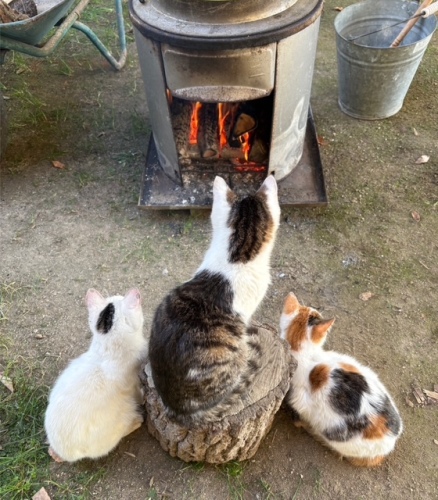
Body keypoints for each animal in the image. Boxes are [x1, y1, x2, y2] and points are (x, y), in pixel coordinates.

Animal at [44, 288, 147, 462]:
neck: (107, 347)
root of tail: (62, 452)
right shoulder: (135, 382)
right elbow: (140, 392)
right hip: (123, 414)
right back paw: (137, 421)